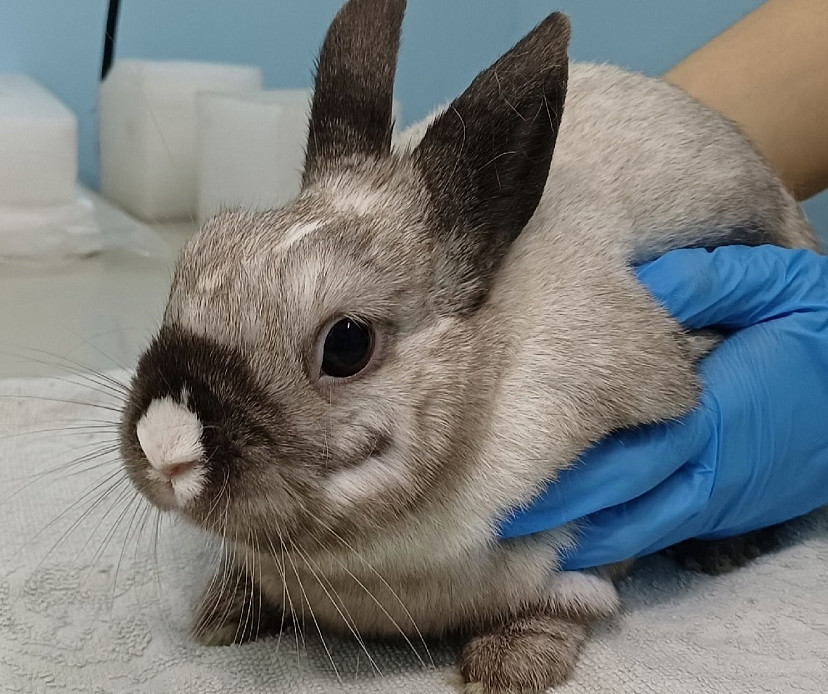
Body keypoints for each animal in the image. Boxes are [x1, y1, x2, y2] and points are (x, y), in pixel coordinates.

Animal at [118, 1, 819, 692]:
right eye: (192, 261)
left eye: (346, 344)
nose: (164, 443)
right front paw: (220, 617)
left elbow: (569, 602)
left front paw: (506, 667)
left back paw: (723, 550)